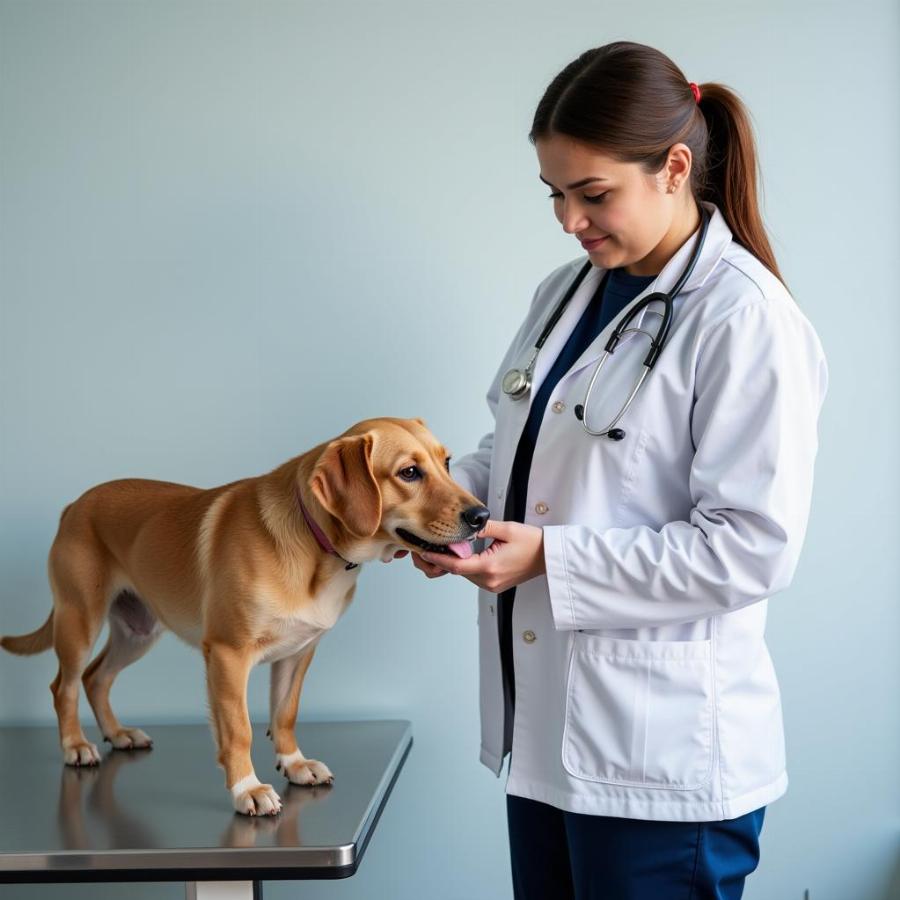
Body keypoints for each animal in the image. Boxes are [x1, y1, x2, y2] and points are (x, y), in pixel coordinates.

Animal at [0, 418, 488, 820]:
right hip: (79, 622)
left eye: (446, 462)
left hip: (138, 631)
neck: (317, 548)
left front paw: (294, 763)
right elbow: (239, 731)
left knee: (97, 678)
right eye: (409, 473)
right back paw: (76, 745)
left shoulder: (298, 654)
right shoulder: (228, 655)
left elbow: (285, 714)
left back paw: (118, 734)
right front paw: (246, 788)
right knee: (64, 686)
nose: (481, 515)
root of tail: (75, 505)